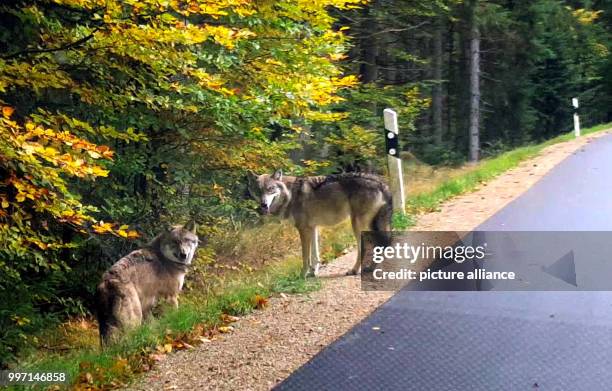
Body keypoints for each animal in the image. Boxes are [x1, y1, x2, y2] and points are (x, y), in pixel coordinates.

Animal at [247, 170, 392, 278]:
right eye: (259, 191)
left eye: (270, 189)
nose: (263, 204)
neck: (290, 195)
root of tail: (382, 183)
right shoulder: (312, 228)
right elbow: (315, 255)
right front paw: (314, 272)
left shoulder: (303, 230)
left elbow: (305, 257)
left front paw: (303, 275)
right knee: (380, 245)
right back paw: (370, 268)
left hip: (358, 225)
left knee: (367, 247)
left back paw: (355, 270)